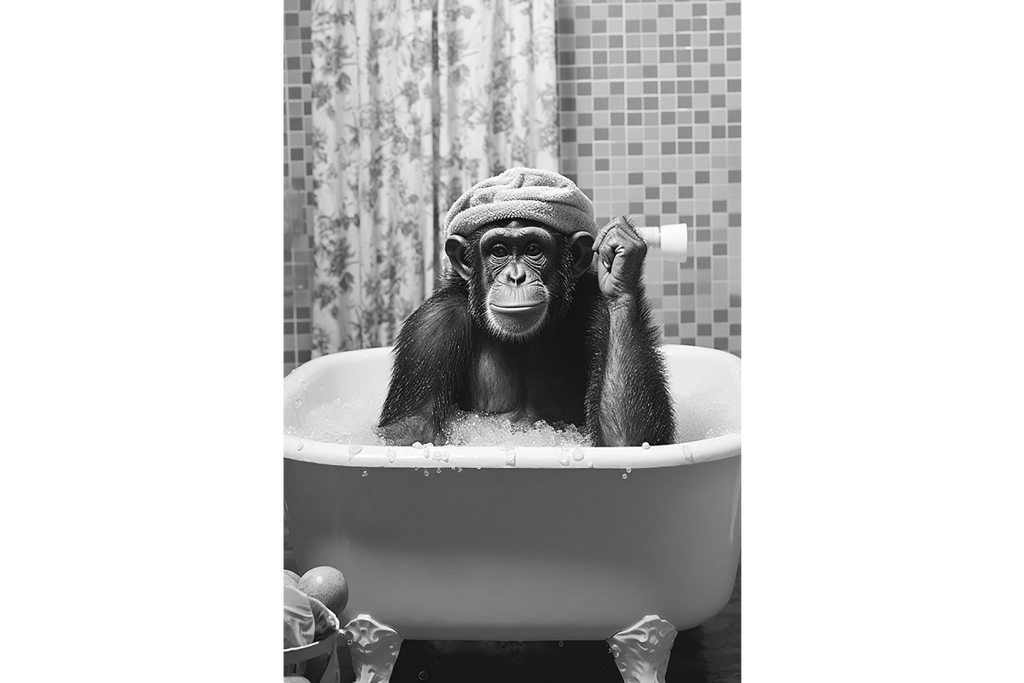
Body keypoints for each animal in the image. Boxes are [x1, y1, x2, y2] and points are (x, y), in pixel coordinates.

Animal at [376, 168, 675, 448]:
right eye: (499, 251)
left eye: (533, 249)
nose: (516, 276)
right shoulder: (431, 327)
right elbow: (412, 429)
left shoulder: (599, 309)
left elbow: (628, 439)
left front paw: (621, 259)